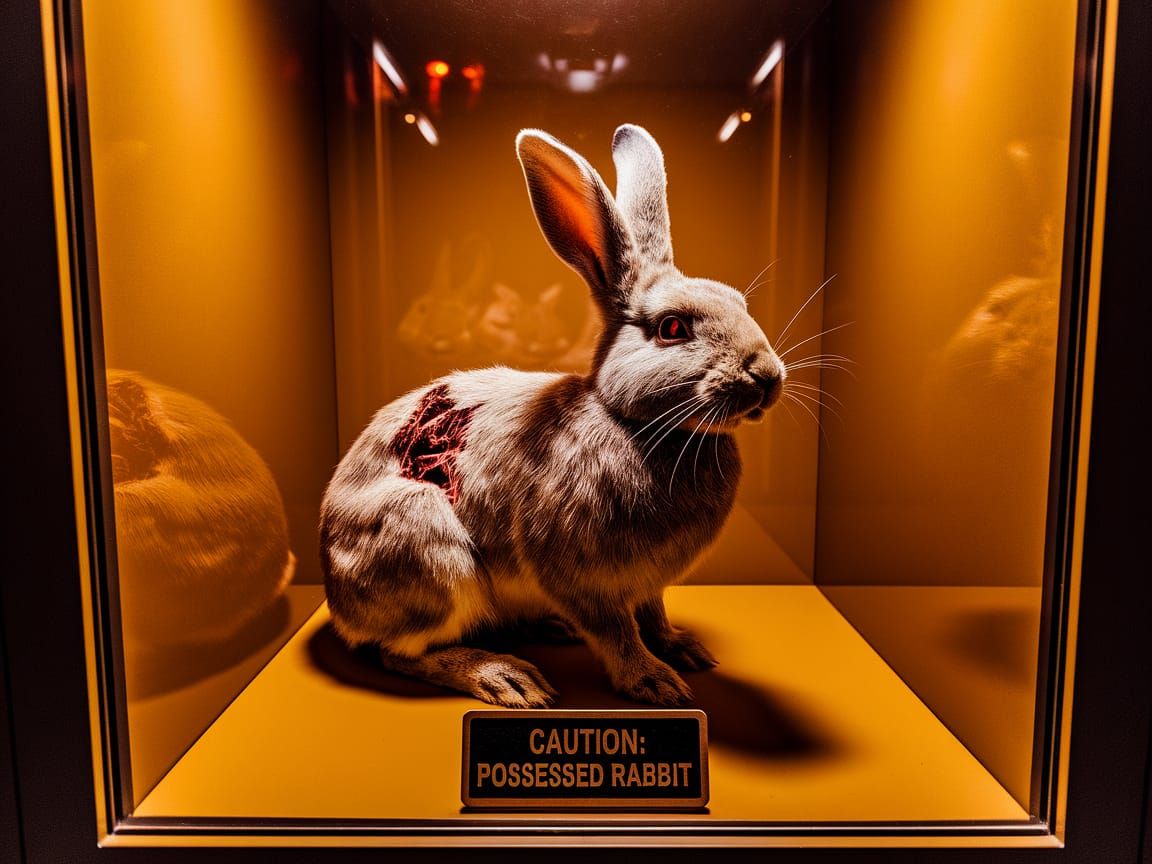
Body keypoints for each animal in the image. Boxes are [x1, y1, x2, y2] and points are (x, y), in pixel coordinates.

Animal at [320, 124, 786, 707]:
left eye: (739, 303)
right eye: (673, 328)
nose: (767, 374)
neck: (634, 423)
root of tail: (336, 597)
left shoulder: (647, 582)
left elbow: (653, 613)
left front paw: (683, 648)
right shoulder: (576, 572)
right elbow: (615, 630)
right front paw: (654, 681)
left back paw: (547, 629)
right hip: (429, 552)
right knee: (398, 653)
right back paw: (504, 676)